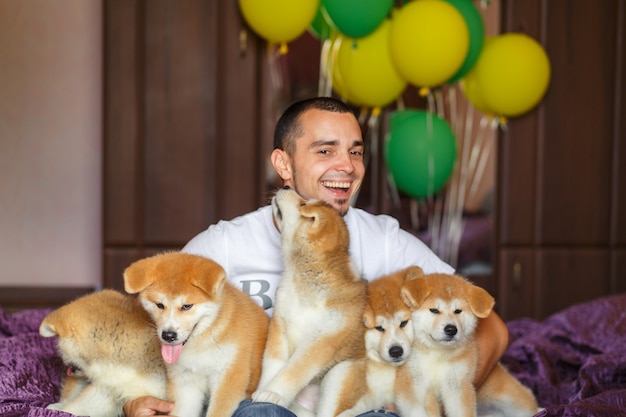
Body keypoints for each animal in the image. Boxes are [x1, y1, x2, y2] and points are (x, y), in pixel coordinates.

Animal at [38, 288, 166, 416]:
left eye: (62, 351)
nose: (66, 366)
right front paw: (59, 405)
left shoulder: (118, 386)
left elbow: (80, 405)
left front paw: (60, 409)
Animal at [123, 252, 268, 416]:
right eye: (159, 305)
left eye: (187, 306)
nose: (168, 336)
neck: (203, 341)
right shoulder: (184, 383)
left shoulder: (228, 377)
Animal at [394, 272, 536, 416]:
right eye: (434, 310)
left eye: (458, 311)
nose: (451, 329)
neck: (438, 353)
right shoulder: (412, 382)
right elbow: (417, 410)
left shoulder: (458, 384)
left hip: (509, 398)